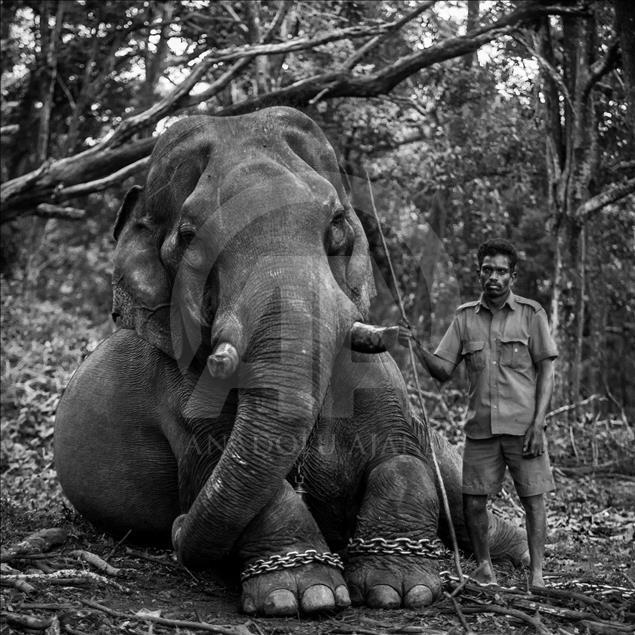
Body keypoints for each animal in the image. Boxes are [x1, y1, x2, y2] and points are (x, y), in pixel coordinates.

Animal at [56, 107, 528, 620]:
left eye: (337, 223)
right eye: (188, 238)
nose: (176, 530)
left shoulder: (379, 377)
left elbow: (403, 458)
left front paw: (401, 589)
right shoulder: (175, 393)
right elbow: (218, 473)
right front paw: (305, 594)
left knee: (456, 479)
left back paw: (516, 550)